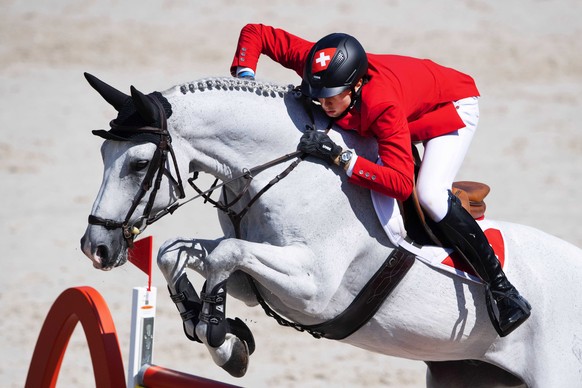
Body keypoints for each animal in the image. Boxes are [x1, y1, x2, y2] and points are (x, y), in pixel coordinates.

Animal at [81, 73, 582, 384]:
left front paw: (220, 332)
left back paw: (510, 302)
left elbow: (225, 254)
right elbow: (177, 252)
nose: (95, 248)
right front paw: (213, 329)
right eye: (103, 155)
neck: (288, 169)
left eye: (139, 163)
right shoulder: (262, 281)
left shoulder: (313, 288)